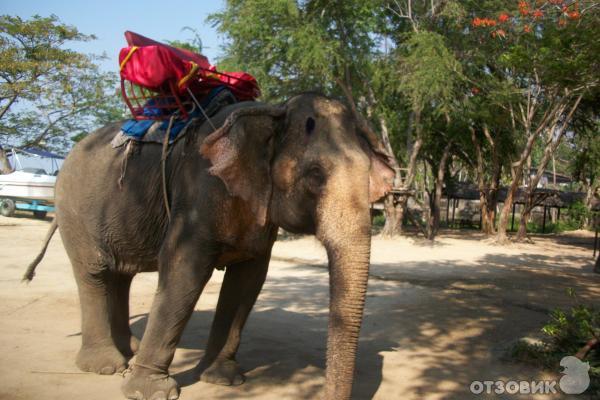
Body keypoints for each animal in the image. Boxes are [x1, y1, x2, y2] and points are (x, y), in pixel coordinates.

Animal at [23, 92, 396, 398]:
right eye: (316, 175)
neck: (272, 111)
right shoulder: (199, 191)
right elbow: (183, 270)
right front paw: (149, 392)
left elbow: (248, 280)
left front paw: (223, 379)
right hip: (75, 211)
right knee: (95, 274)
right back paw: (106, 365)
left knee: (120, 277)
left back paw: (129, 349)